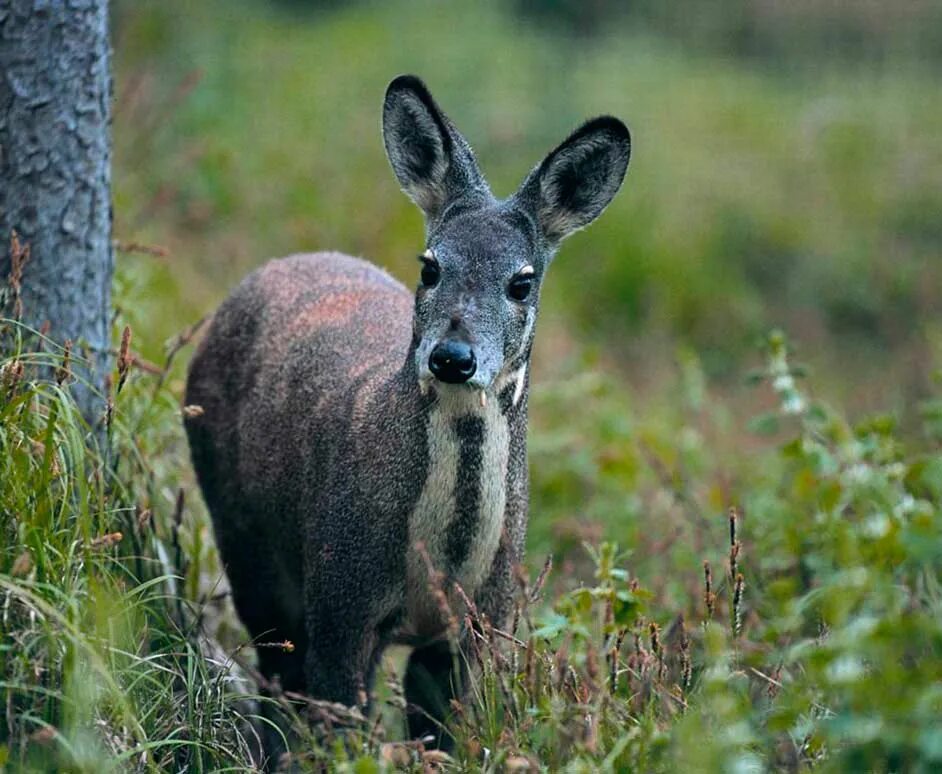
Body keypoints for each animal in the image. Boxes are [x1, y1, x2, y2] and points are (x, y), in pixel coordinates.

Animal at [184, 74, 632, 756]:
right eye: (430, 265)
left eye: (522, 282)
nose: (452, 357)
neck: (440, 562)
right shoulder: (340, 594)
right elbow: (339, 723)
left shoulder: (478, 623)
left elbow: (439, 736)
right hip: (243, 535)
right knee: (275, 671)